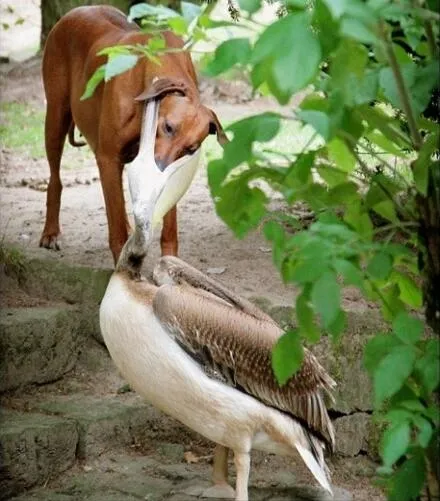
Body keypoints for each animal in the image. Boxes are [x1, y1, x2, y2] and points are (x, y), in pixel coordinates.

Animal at [39, 5, 227, 264]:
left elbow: (169, 225)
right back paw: (51, 231)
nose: (159, 167)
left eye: (190, 149)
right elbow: (116, 225)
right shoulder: (108, 159)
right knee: (55, 179)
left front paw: (169, 262)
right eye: (168, 127)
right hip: (56, 118)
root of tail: (75, 11)